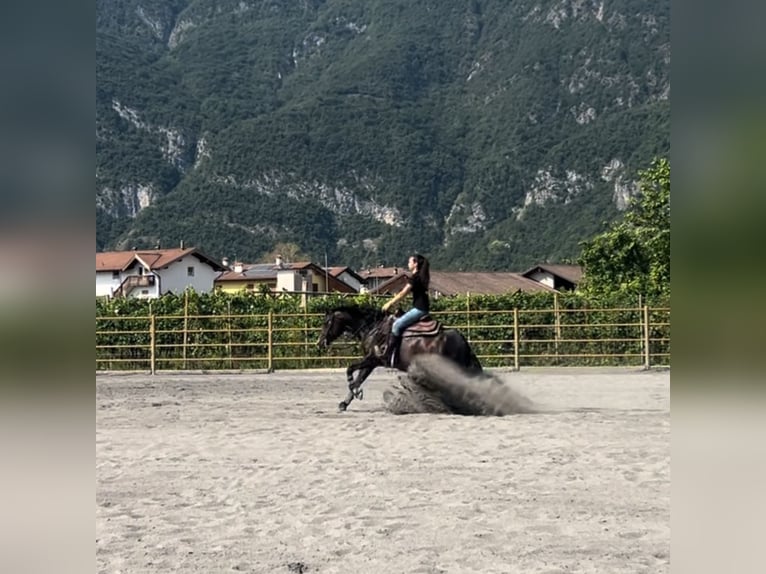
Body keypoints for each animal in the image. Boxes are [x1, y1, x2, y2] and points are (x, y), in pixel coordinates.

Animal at [316, 303, 483, 411]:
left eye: (327, 322)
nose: (319, 342)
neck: (372, 329)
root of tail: (461, 339)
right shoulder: (371, 362)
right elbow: (359, 379)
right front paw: (345, 403)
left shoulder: (373, 359)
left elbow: (350, 371)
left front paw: (355, 391)